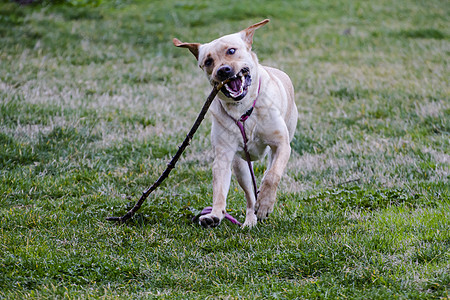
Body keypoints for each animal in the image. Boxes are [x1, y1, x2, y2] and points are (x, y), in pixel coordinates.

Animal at [174, 19, 298, 227]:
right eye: (208, 61)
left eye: (231, 51)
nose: (223, 70)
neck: (243, 109)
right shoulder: (223, 155)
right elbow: (219, 189)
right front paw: (215, 214)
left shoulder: (281, 144)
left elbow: (272, 176)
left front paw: (266, 203)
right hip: (241, 166)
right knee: (249, 197)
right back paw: (250, 220)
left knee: (269, 170)